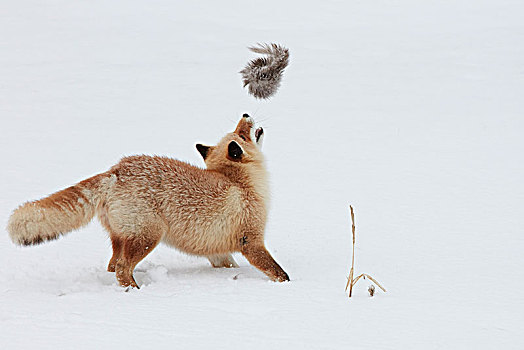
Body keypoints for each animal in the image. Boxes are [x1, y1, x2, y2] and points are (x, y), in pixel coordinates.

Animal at [6, 115, 288, 288]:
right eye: (242, 134)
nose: (246, 114)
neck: (239, 182)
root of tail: (116, 170)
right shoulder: (250, 240)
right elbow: (277, 271)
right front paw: (287, 287)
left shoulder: (218, 251)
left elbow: (228, 265)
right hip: (148, 236)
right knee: (121, 268)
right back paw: (136, 291)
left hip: (123, 238)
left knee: (112, 267)